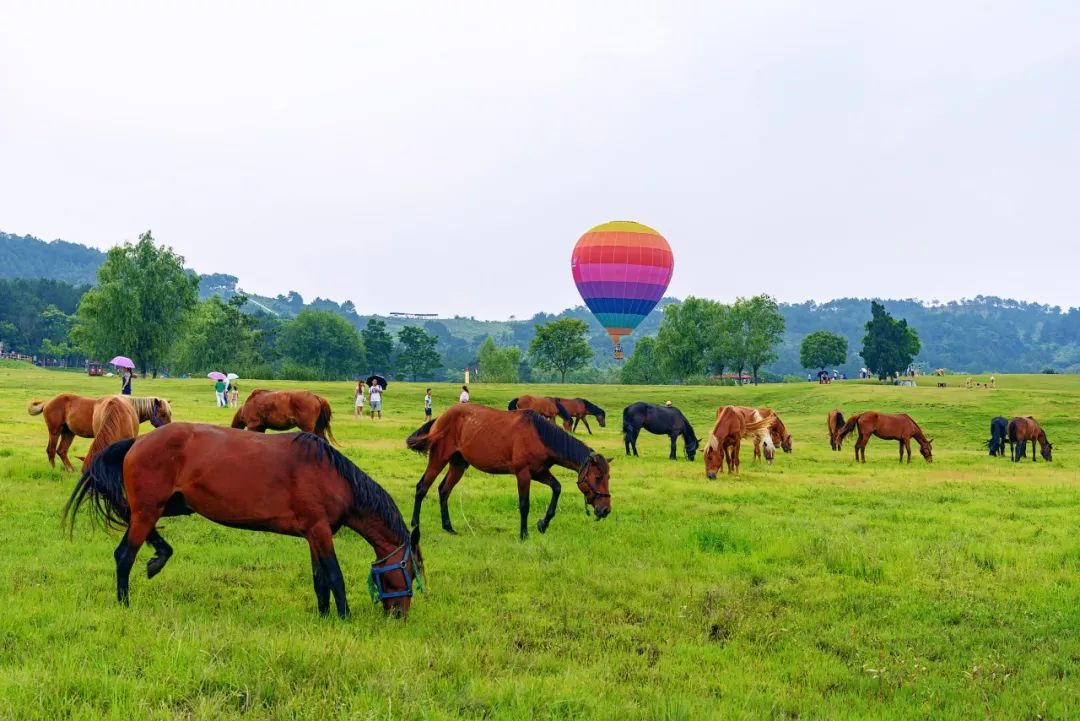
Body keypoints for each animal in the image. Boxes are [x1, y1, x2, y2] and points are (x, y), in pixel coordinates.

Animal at [27, 395, 172, 472]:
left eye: (169, 413)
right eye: (163, 413)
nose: (169, 428)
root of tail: (47, 403)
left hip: (68, 433)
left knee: (61, 451)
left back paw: (70, 470)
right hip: (55, 431)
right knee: (51, 450)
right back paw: (54, 470)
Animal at [64, 425, 421, 617]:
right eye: (411, 571)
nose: (400, 615)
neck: (332, 475)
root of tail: (136, 442)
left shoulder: (313, 534)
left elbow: (320, 579)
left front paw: (324, 617)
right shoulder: (321, 531)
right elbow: (335, 577)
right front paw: (344, 618)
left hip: (165, 507)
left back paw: (159, 556)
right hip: (150, 509)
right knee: (124, 555)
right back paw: (125, 601)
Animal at [406, 403, 613, 537]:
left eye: (608, 478)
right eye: (597, 477)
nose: (605, 510)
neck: (539, 436)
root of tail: (441, 417)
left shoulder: (539, 472)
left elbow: (557, 488)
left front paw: (543, 524)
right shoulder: (523, 474)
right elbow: (524, 504)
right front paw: (524, 534)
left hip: (458, 465)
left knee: (444, 491)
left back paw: (448, 527)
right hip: (438, 459)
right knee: (422, 488)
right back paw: (415, 524)